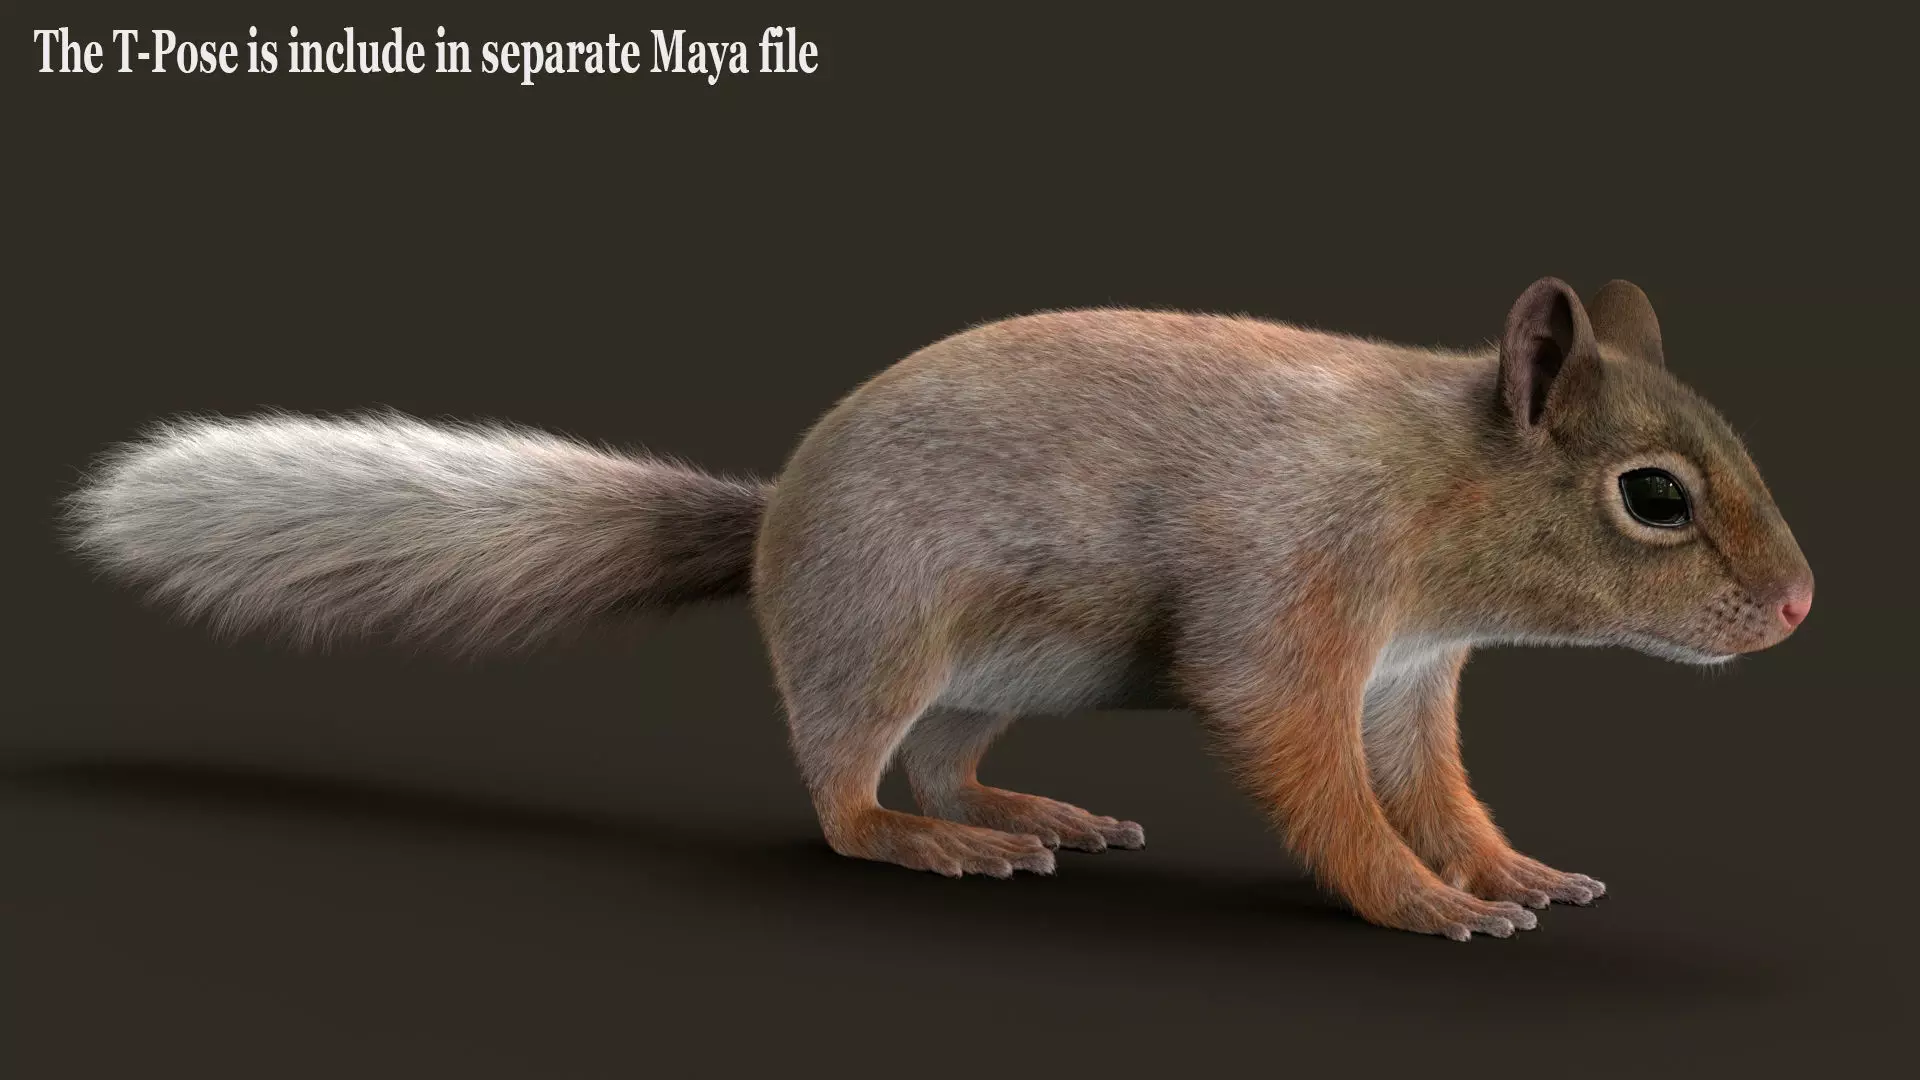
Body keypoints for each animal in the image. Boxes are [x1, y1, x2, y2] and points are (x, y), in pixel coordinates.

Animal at [64, 277, 1813, 940]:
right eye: (1655, 496)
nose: (1799, 607)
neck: (1428, 485)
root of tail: (777, 525)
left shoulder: (1411, 675)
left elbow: (1436, 790)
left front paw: (1506, 867)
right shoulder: (1291, 611)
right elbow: (1316, 780)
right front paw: (1420, 902)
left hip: (989, 677)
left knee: (942, 761)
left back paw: (1030, 810)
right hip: (883, 638)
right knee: (852, 798)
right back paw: (938, 846)